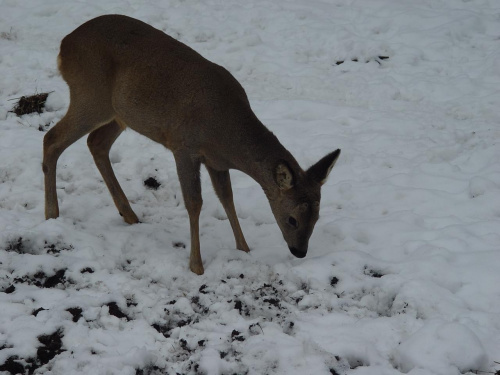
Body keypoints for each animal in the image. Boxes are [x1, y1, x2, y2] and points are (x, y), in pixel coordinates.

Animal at [44, 13, 340, 276]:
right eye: (292, 219)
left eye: (317, 216)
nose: (299, 252)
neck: (225, 132)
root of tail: (64, 45)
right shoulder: (184, 147)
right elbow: (195, 202)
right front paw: (196, 265)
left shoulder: (216, 162)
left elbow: (227, 198)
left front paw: (244, 249)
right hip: (90, 95)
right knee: (52, 138)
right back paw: (51, 214)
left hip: (120, 113)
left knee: (96, 143)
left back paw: (128, 214)